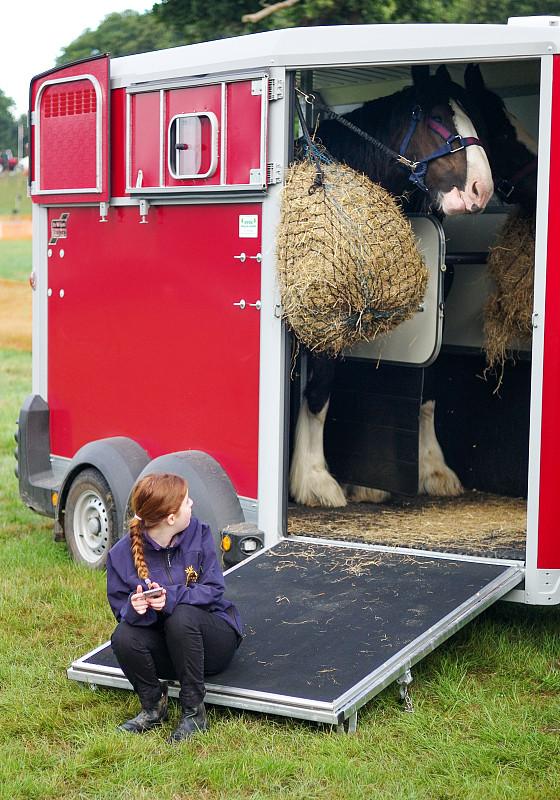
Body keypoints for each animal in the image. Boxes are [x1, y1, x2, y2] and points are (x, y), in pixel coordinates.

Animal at [289, 65, 494, 508]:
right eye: (434, 115)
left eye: (473, 115)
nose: (480, 190)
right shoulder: (322, 317)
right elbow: (320, 388)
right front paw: (314, 479)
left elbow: (427, 384)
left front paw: (431, 469)